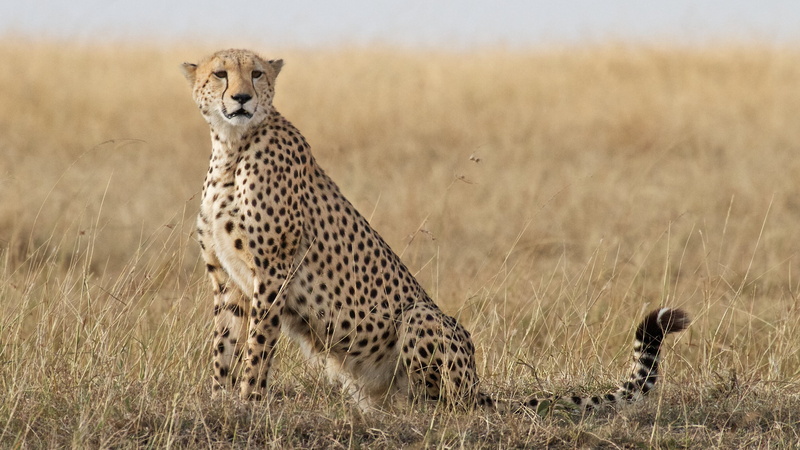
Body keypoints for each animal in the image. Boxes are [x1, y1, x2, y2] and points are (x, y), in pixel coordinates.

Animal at [180, 48, 690, 412]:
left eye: (257, 74)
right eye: (220, 74)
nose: (241, 98)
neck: (232, 146)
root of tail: (478, 385)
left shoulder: (275, 268)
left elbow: (257, 343)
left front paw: (249, 401)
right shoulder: (228, 279)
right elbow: (224, 342)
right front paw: (220, 399)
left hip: (421, 317)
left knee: (445, 404)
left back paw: (424, 412)